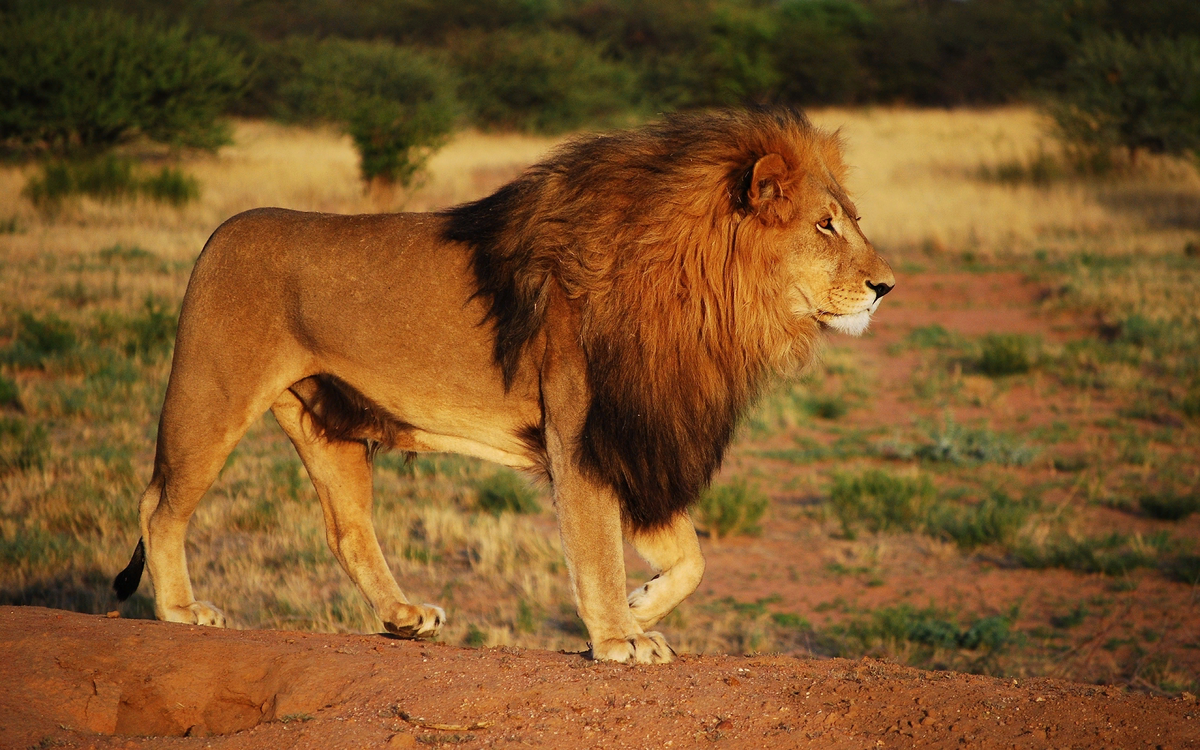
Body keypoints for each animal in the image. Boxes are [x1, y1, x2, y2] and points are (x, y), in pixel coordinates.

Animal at [114, 106, 892, 662]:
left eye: (851, 221)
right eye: (825, 226)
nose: (886, 286)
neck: (705, 298)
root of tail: (219, 233)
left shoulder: (634, 435)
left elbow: (691, 556)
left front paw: (641, 606)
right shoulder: (584, 434)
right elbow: (597, 547)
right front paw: (618, 637)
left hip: (327, 423)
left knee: (347, 530)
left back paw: (403, 618)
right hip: (210, 396)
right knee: (159, 504)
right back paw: (181, 610)